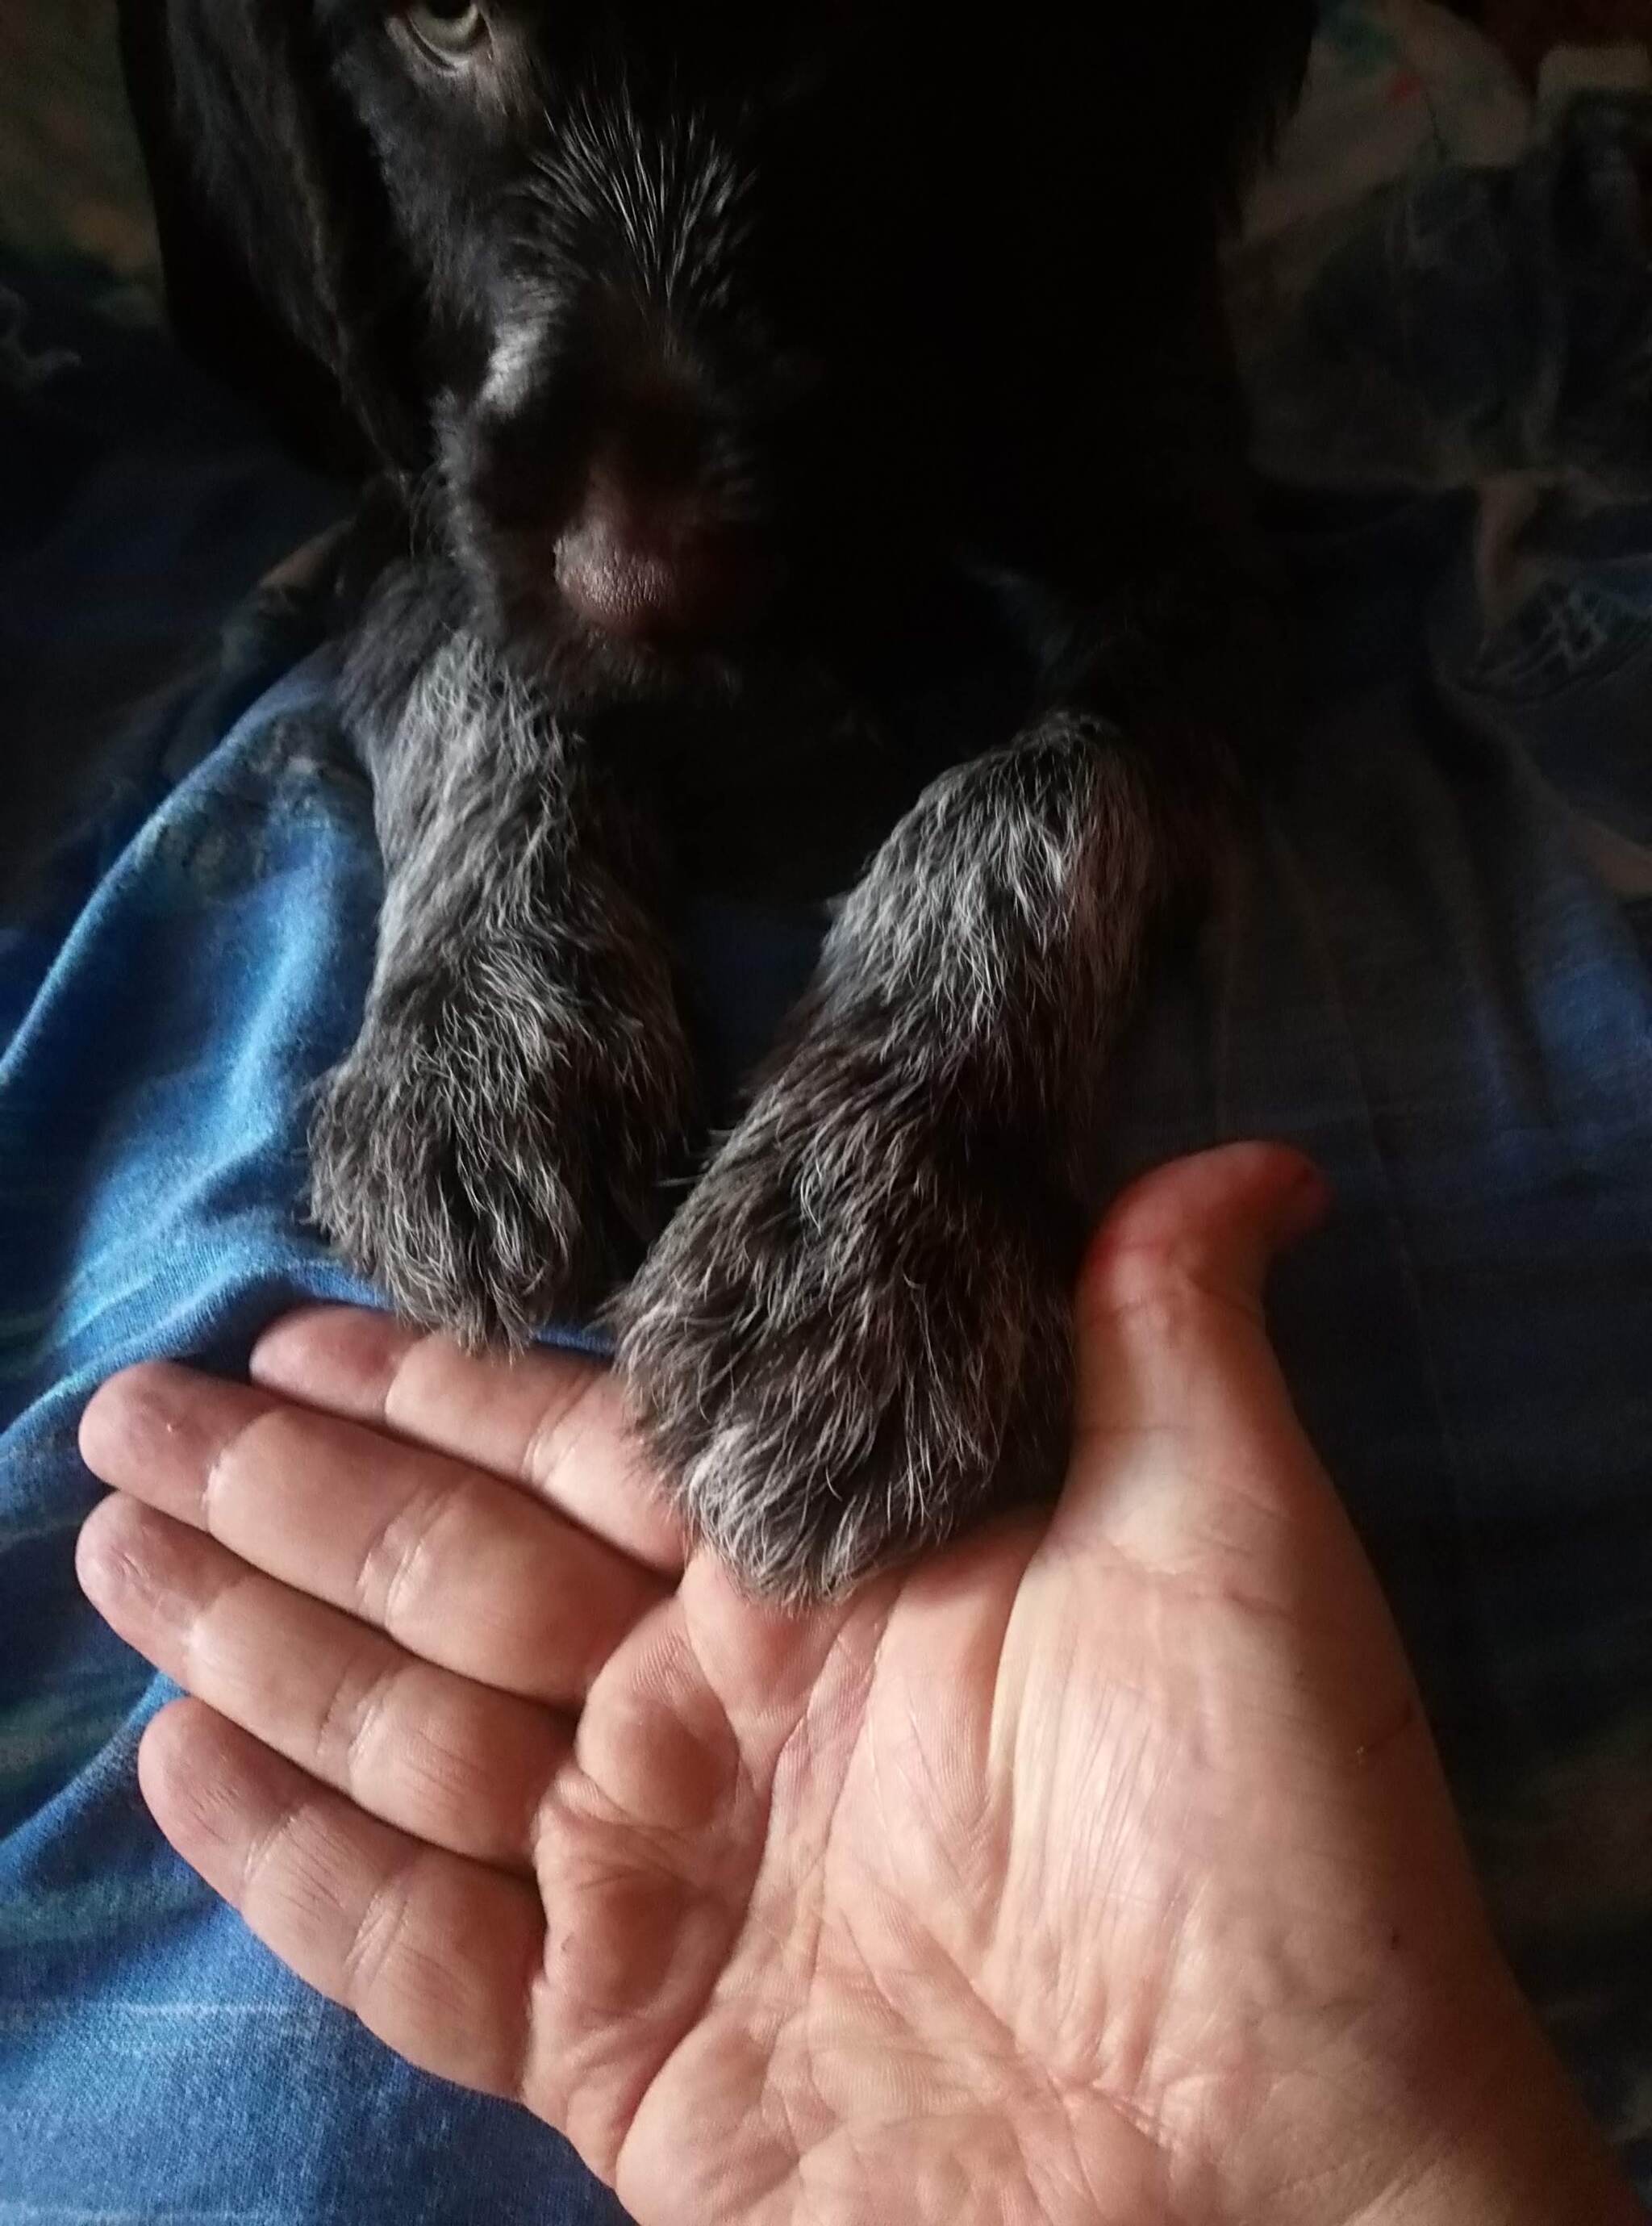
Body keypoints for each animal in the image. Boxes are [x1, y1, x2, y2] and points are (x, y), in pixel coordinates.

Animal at [157, 0, 1316, 1600]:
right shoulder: (423, 493)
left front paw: (864, 1230)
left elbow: (1037, 792)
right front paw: (488, 1033)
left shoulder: (1192, 535)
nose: (639, 587)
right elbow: (478, 668)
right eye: (444, 21)